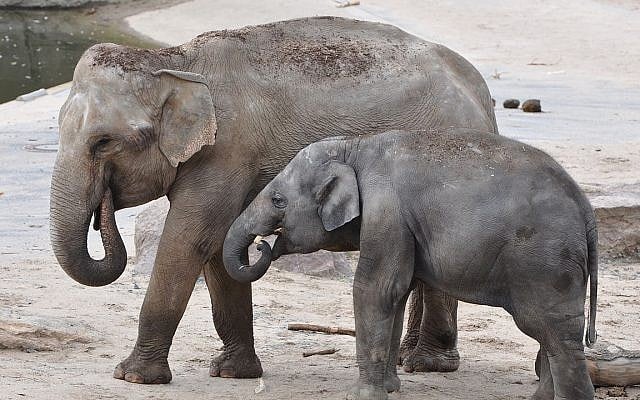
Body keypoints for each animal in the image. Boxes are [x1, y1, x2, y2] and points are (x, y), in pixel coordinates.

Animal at [49, 16, 497, 384]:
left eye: (103, 142)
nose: (104, 207)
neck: (174, 61)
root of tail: (481, 93)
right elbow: (219, 243)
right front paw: (233, 372)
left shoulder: (227, 149)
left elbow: (191, 239)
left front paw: (133, 376)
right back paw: (408, 357)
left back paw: (428, 363)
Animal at [223, 129, 599, 400]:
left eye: (277, 200)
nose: (262, 244)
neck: (355, 147)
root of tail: (586, 208)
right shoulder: (398, 228)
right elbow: (397, 295)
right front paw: (391, 389)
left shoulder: (387, 214)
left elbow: (374, 290)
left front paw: (361, 396)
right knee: (551, 334)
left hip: (544, 261)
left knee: (554, 332)